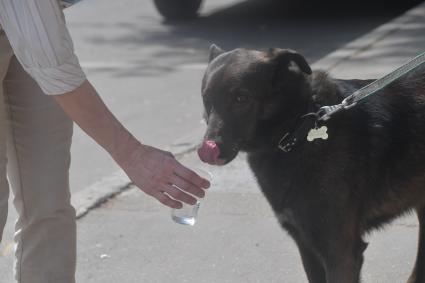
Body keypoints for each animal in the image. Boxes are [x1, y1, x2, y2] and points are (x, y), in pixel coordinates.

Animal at [198, 45, 424, 283]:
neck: (297, 128)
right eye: (206, 99)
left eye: (241, 98)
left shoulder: (340, 255)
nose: (207, 150)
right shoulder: (306, 247)